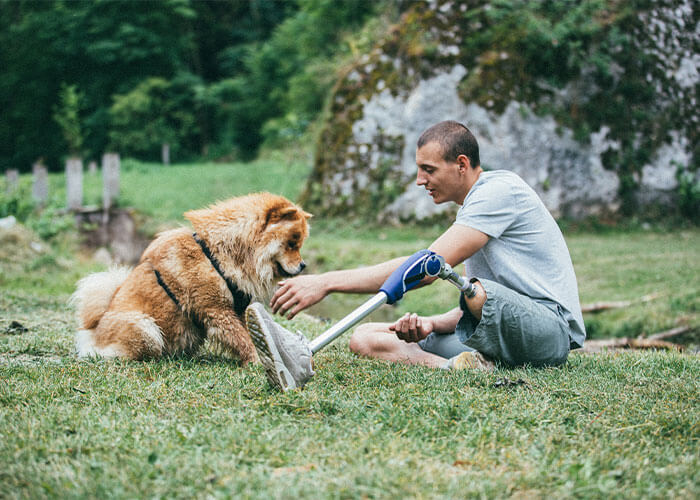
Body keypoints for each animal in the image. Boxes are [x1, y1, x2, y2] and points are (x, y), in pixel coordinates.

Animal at [72, 192, 310, 364]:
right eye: (292, 244)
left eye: (299, 244)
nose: (303, 265)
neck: (220, 253)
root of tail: (93, 330)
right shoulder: (217, 310)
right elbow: (242, 340)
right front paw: (256, 361)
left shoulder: (236, 310)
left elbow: (249, 334)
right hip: (146, 328)